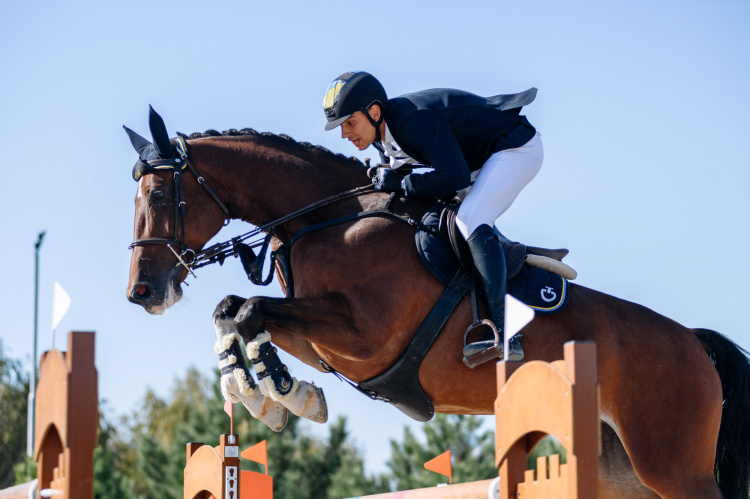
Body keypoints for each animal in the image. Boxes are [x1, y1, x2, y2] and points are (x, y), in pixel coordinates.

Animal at [126, 107, 748, 498]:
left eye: (157, 194)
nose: (142, 293)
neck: (326, 220)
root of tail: (694, 344)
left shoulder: (363, 336)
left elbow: (249, 309)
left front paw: (275, 393)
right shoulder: (321, 339)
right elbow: (235, 311)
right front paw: (269, 392)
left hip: (672, 465)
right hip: (626, 473)